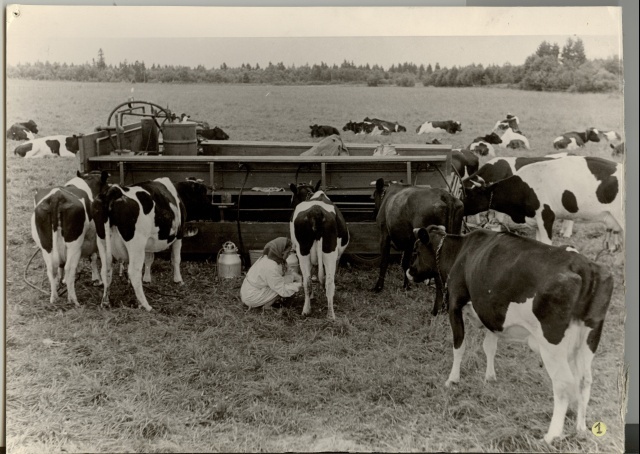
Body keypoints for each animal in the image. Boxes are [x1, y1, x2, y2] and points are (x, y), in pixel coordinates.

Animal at [30, 171, 110, 308]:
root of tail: (56, 196)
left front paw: (61, 281)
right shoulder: (92, 237)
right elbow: (93, 257)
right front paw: (97, 279)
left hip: (46, 244)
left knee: (52, 268)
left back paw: (54, 298)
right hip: (74, 244)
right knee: (69, 268)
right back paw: (73, 300)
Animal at [92, 176, 210, 310]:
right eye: (203, 193)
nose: (212, 208)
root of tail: (115, 190)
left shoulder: (149, 242)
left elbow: (149, 260)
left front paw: (147, 279)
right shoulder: (179, 235)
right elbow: (176, 259)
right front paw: (178, 280)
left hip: (102, 241)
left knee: (106, 270)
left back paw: (105, 302)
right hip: (136, 244)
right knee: (134, 271)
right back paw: (145, 305)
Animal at [370, 178, 464, 316]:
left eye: (373, 195)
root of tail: (445, 195)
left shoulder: (384, 236)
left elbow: (384, 262)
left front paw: (378, 287)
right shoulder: (409, 243)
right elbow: (406, 263)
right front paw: (406, 286)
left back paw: (437, 309)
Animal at [408, 225, 612, 446]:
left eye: (416, 250)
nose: (408, 272)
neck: (460, 251)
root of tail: (584, 266)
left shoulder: (455, 303)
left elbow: (459, 345)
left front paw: (452, 380)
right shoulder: (491, 314)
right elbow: (489, 347)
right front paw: (490, 377)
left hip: (552, 344)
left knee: (564, 383)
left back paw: (552, 435)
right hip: (590, 337)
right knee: (585, 379)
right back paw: (581, 428)